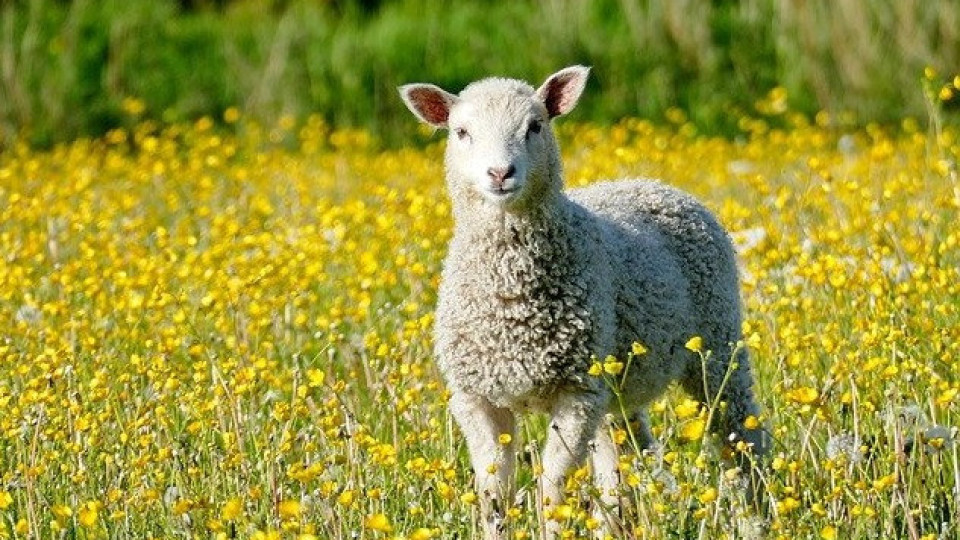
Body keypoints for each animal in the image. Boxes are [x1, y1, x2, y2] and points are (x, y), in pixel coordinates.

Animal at [402, 65, 768, 536]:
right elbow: (493, 493)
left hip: (718, 343)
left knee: (741, 435)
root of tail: (651, 183)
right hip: (618, 384)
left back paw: (759, 517)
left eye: (535, 126)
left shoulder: (577, 393)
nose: (500, 173)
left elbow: (553, 487)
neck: (511, 297)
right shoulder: (476, 397)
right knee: (626, 455)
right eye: (461, 132)